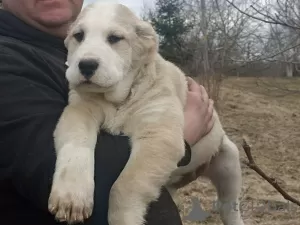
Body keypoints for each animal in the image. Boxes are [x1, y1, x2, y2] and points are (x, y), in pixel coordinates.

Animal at [48, 3, 245, 225]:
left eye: (115, 38)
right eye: (79, 36)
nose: (86, 65)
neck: (118, 99)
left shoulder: (158, 134)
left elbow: (124, 186)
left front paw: (124, 219)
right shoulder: (80, 111)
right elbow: (75, 148)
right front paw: (72, 197)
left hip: (229, 161)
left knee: (227, 206)